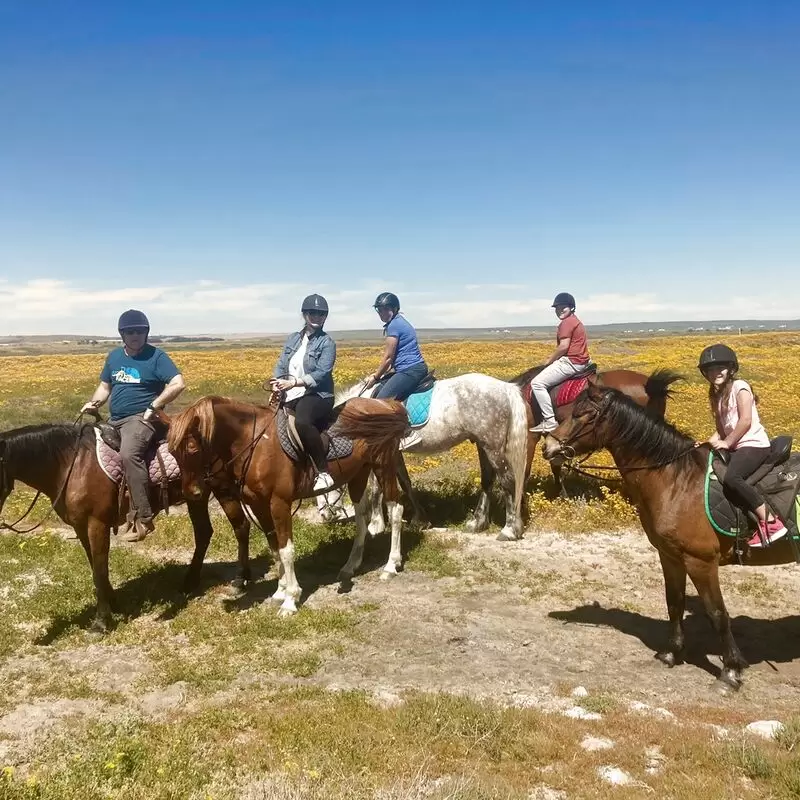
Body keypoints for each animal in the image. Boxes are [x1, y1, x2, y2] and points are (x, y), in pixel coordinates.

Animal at [0, 422, 250, 636]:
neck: (71, 465)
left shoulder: (97, 524)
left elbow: (100, 571)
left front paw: (101, 622)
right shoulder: (80, 527)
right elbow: (95, 567)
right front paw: (114, 605)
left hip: (223, 490)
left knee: (240, 526)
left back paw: (240, 580)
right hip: (196, 496)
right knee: (204, 533)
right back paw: (190, 582)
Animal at [166, 396, 410, 616]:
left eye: (192, 448)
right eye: (172, 451)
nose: (191, 493)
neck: (256, 442)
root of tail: (386, 404)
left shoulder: (279, 503)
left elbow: (286, 549)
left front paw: (291, 599)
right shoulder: (258, 504)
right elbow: (274, 547)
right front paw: (280, 591)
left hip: (384, 466)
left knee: (396, 509)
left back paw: (391, 566)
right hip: (358, 474)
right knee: (362, 517)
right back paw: (350, 567)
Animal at [540, 384, 796, 692]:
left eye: (582, 414)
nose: (548, 447)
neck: (677, 481)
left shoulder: (701, 562)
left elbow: (717, 614)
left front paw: (731, 671)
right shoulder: (670, 556)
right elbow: (674, 603)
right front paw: (672, 653)